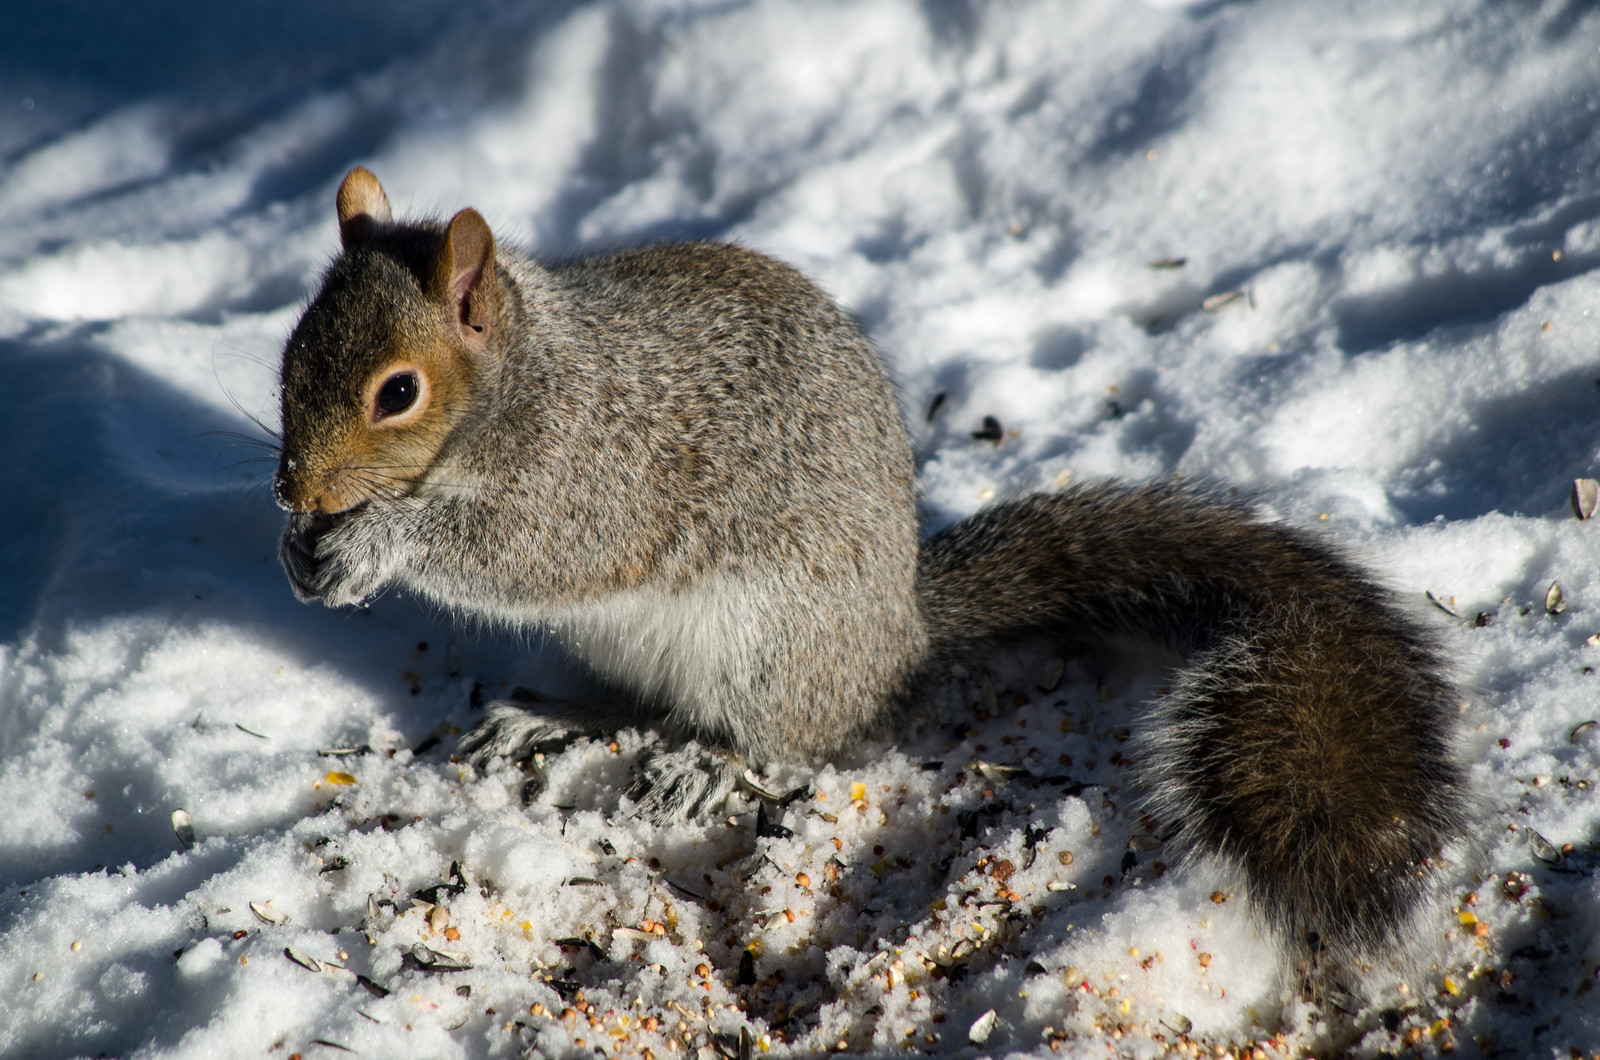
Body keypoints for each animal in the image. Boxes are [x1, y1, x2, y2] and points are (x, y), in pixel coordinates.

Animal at [272, 170, 1465, 973]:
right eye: (288, 353)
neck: (525, 382)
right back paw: (555, 716)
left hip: (771, 641)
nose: (291, 493)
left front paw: (375, 543)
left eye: (397, 393)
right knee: (636, 700)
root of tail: (899, 626)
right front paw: (304, 550)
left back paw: (710, 761)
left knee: (795, 737)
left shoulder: (595, 470)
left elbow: (525, 550)